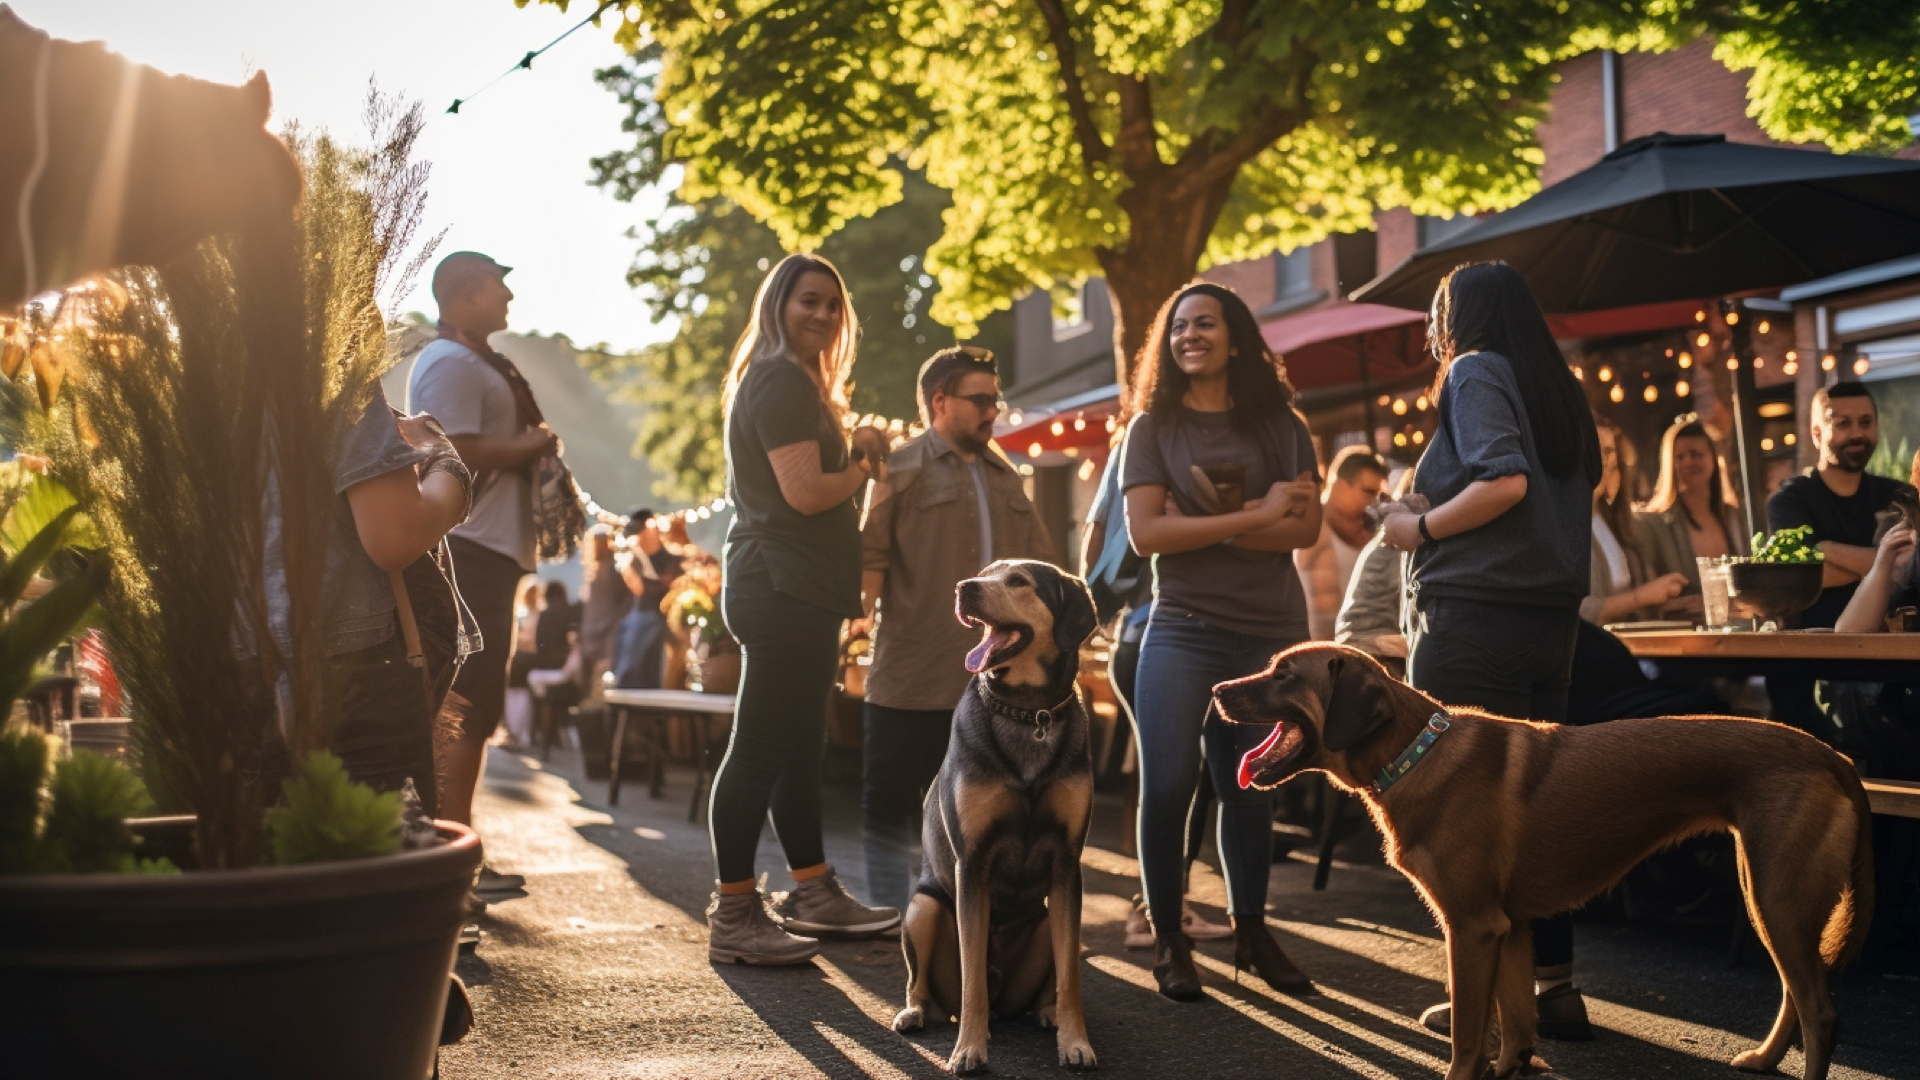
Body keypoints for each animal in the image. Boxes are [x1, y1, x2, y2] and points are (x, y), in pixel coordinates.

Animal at [887, 553, 1098, 1068]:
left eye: (1018, 581)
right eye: (985, 573)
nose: (964, 588)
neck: (1029, 713)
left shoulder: (1067, 865)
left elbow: (1070, 977)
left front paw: (1075, 1041)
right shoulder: (973, 862)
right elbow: (971, 979)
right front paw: (969, 1048)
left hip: (1046, 918)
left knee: (1052, 974)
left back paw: (1046, 1012)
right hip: (923, 908)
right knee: (925, 983)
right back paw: (915, 1012)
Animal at [1213, 638, 1873, 1076]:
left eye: (1282, 674)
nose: (1217, 690)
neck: (1415, 753)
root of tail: (1831, 754)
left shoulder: (1472, 928)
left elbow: (1469, 1038)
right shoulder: (1511, 927)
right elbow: (1515, 1028)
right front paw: (1513, 1066)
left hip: (1778, 896)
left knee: (1820, 1010)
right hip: (1764, 891)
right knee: (1794, 992)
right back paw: (1763, 1058)